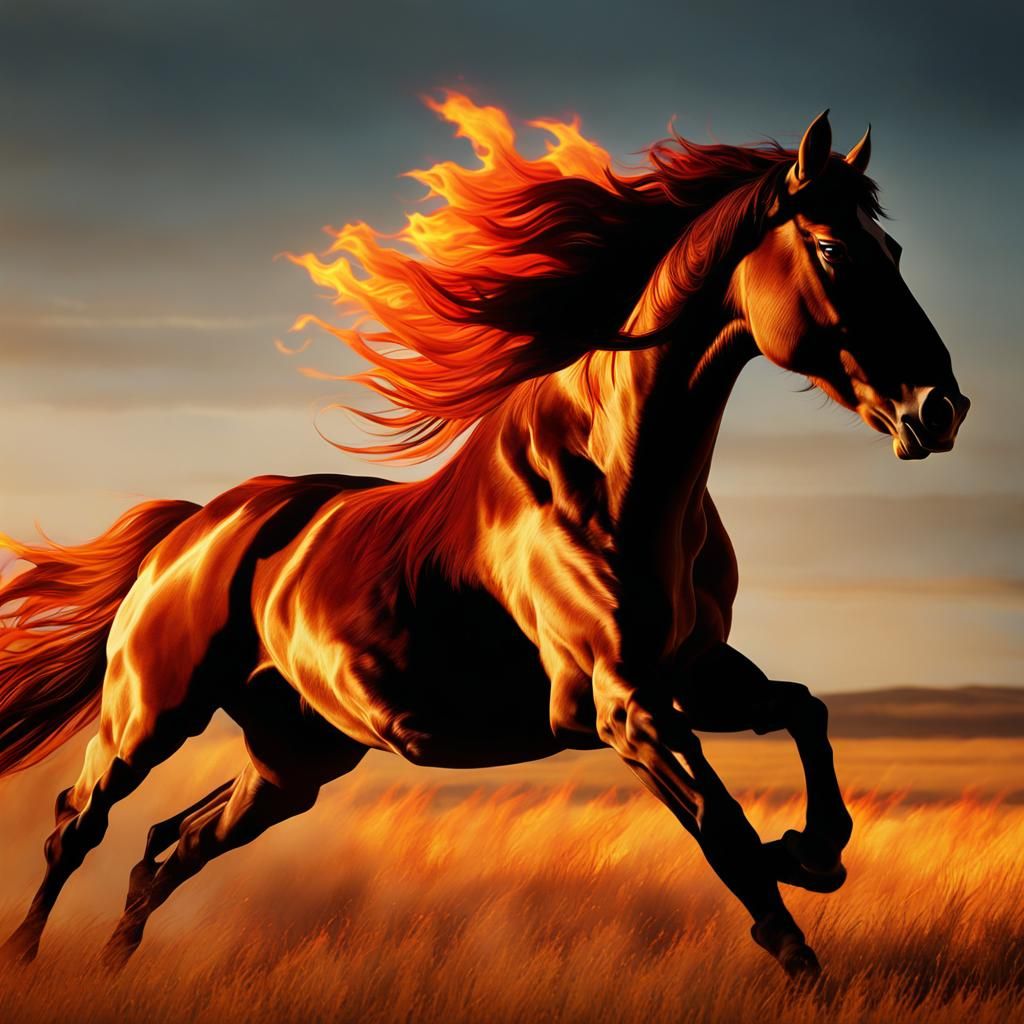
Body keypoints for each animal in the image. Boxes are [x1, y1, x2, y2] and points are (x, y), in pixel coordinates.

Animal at [0, 93, 969, 981]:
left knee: (174, 845)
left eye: (895, 252)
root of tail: (192, 529)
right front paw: (802, 942)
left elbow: (805, 709)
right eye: (836, 250)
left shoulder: (695, 675)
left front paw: (812, 849)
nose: (941, 409)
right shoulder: (625, 707)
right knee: (79, 825)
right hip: (150, 717)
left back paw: (115, 964)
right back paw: (29, 959)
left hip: (295, 758)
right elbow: (726, 839)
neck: (619, 479)